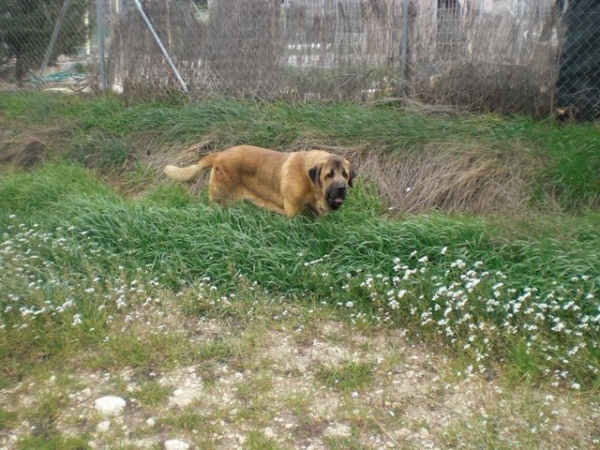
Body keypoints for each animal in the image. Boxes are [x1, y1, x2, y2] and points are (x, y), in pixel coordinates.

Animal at [162, 145, 354, 217]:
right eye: (328, 175)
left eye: (345, 175)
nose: (341, 188)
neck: (311, 185)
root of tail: (219, 154)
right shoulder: (292, 211)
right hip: (219, 199)